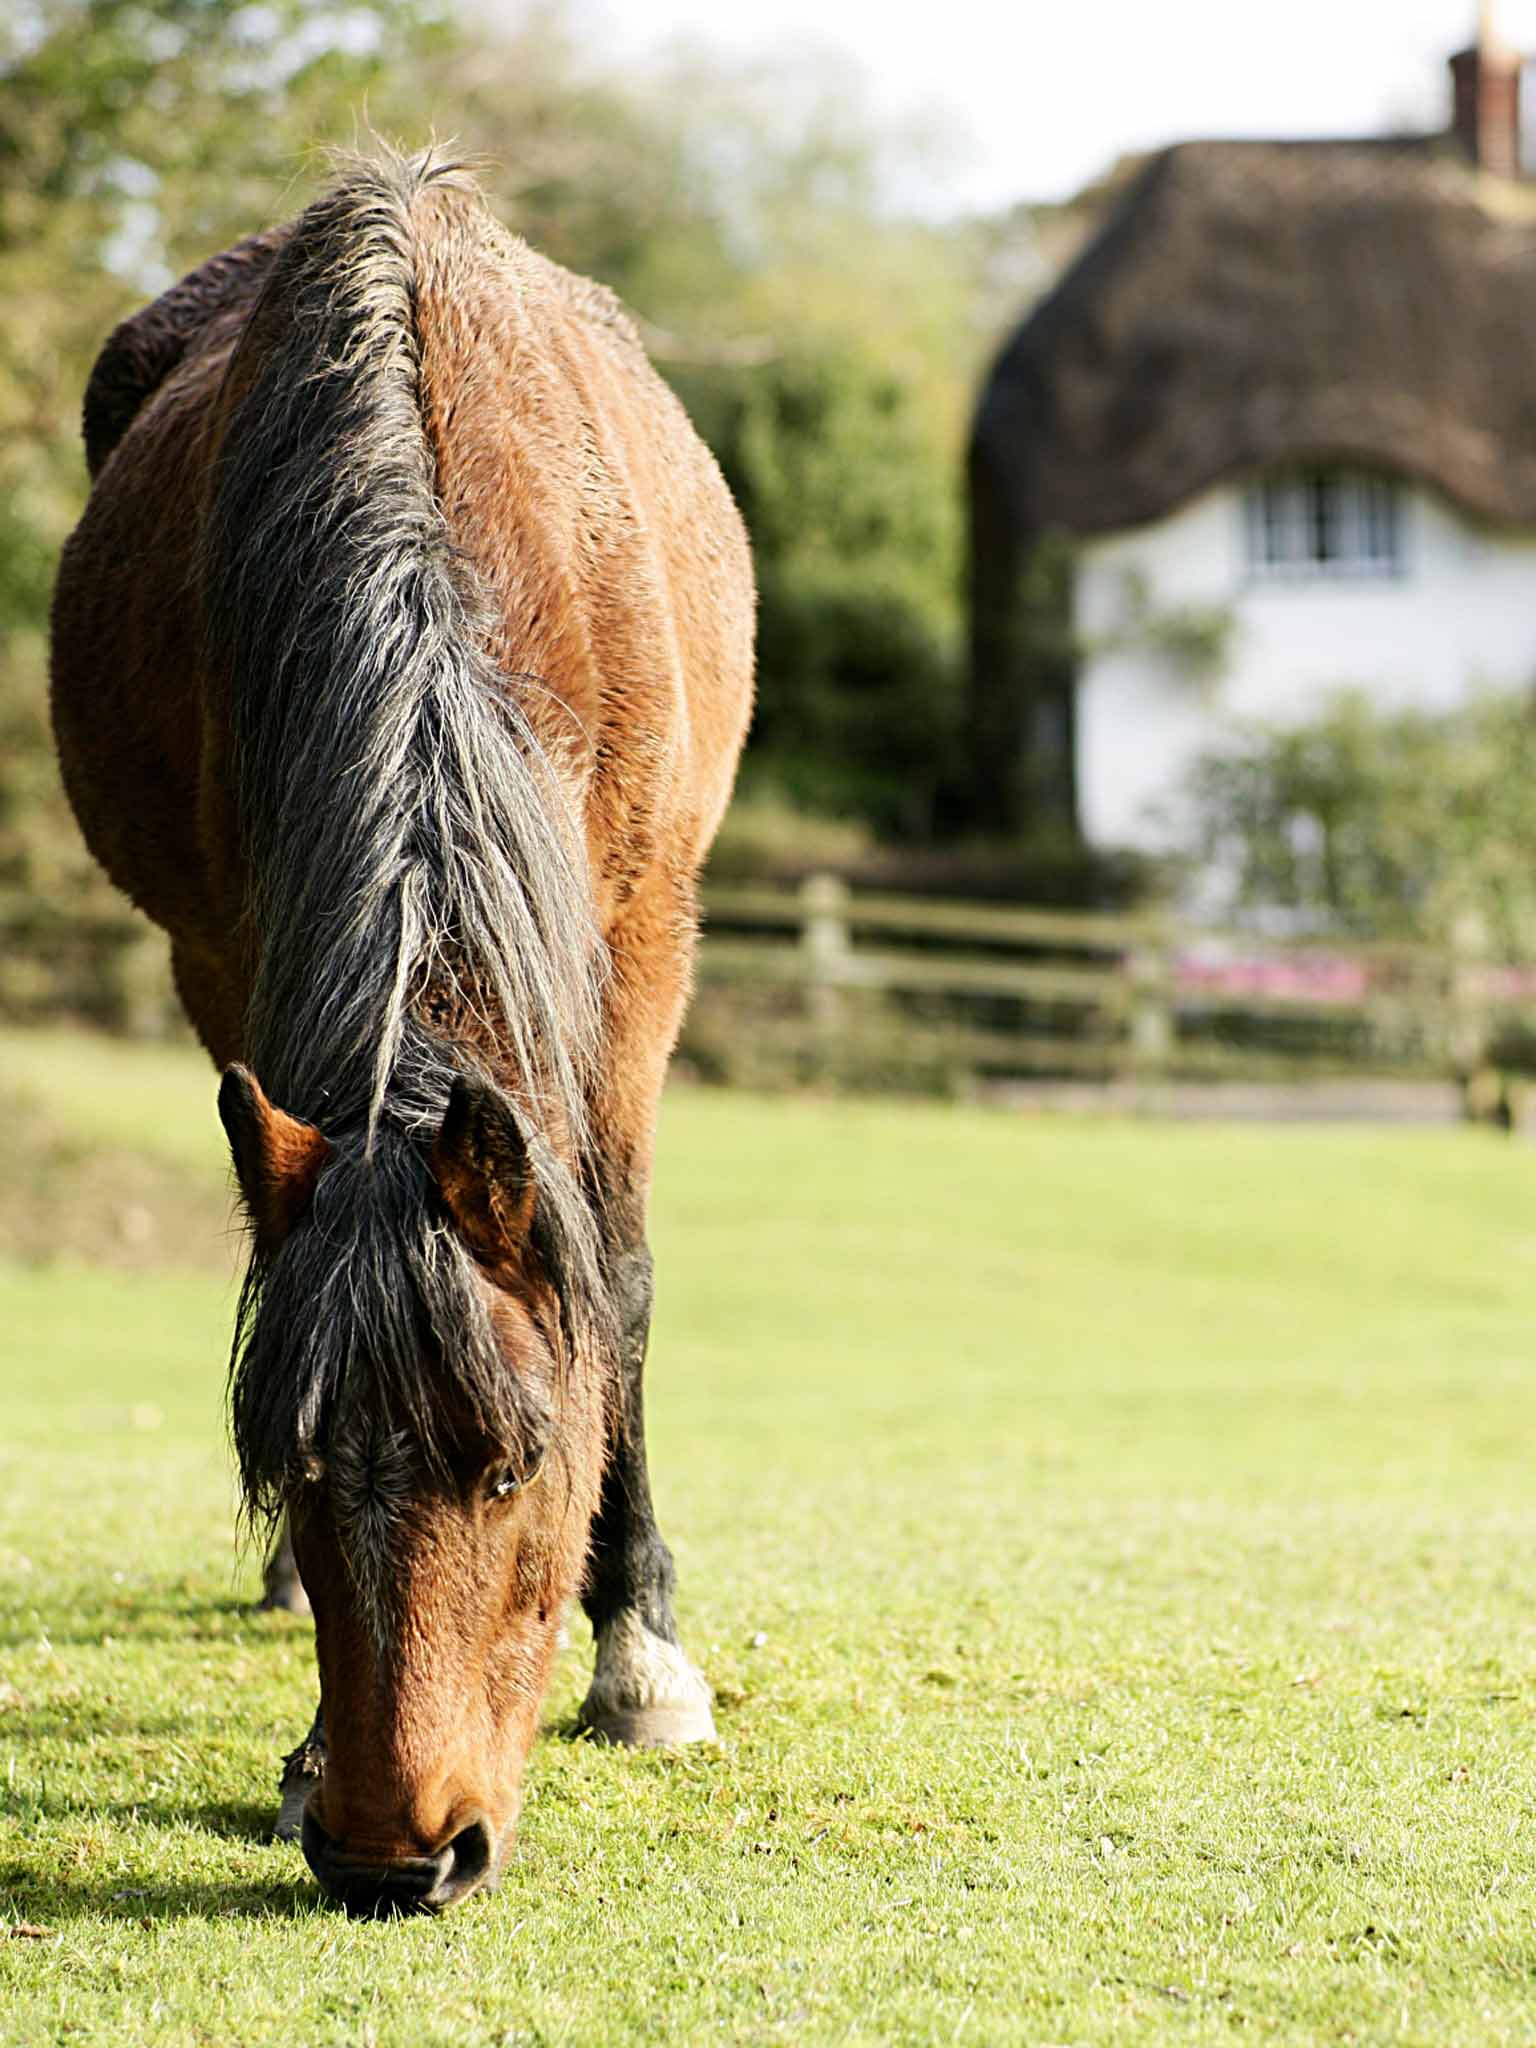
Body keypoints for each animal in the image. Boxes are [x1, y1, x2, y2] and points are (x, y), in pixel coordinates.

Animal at [51, 151, 761, 1908]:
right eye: (300, 1466)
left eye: (511, 1465)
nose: (395, 1854)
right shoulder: (239, 938)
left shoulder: (645, 951)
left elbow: (616, 1281)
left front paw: (641, 1651)